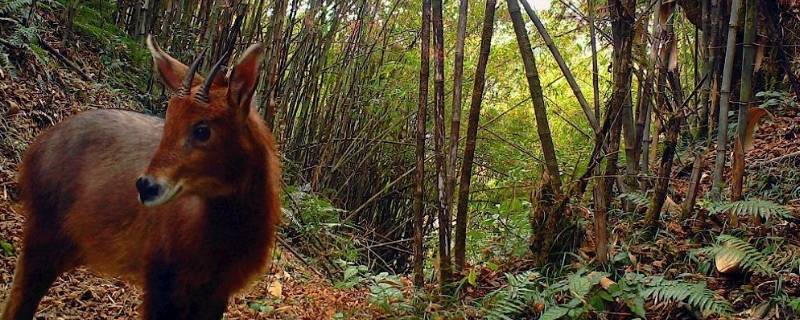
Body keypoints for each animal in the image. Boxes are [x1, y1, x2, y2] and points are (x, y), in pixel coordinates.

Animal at [0, 35, 282, 320]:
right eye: (168, 122)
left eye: (203, 129)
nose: (146, 186)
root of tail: (36, 148)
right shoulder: (160, 278)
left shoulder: (216, 291)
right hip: (44, 232)